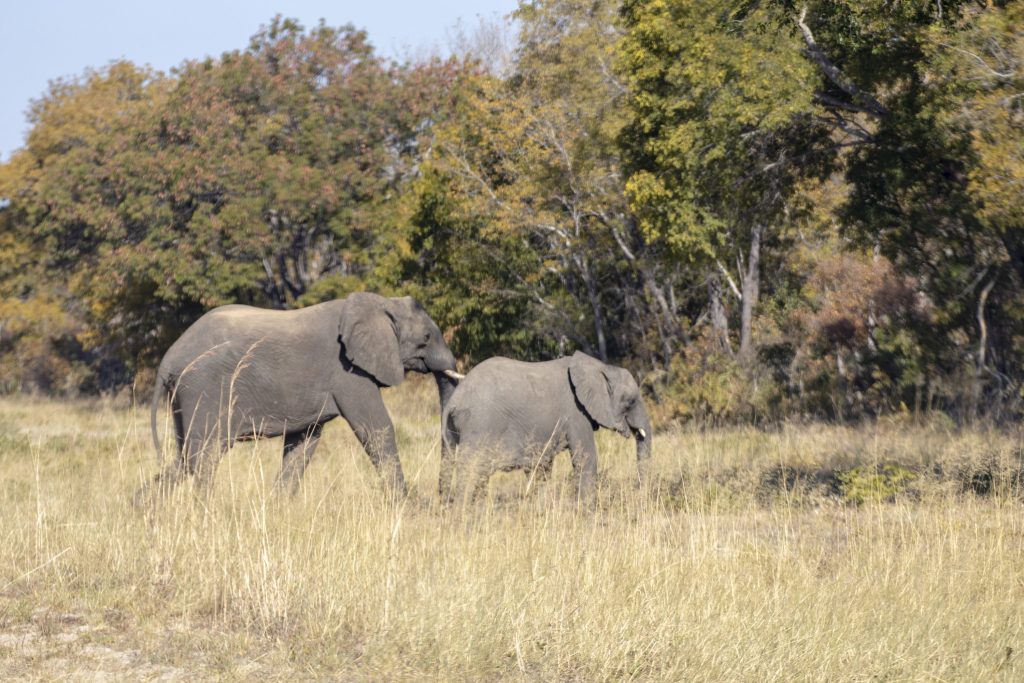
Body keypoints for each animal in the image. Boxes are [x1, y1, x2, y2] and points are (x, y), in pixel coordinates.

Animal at [134, 292, 461, 504]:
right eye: (426, 339)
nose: (442, 500)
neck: (380, 303)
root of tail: (169, 357)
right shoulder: (348, 371)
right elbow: (377, 428)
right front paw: (406, 505)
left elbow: (304, 443)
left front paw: (278, 507)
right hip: (203, 388)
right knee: (205, 454)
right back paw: (206, 510)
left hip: (185, 396)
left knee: (186, 456)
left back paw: (143, 506)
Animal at [439, 351, 652, 503]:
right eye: (630, 401)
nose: (639, 491)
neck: (600, 367)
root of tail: (454, 401)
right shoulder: (575, 413)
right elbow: (586, 458)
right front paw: (587, 511)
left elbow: (541, 467)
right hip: (479, 425)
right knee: (471, 473)